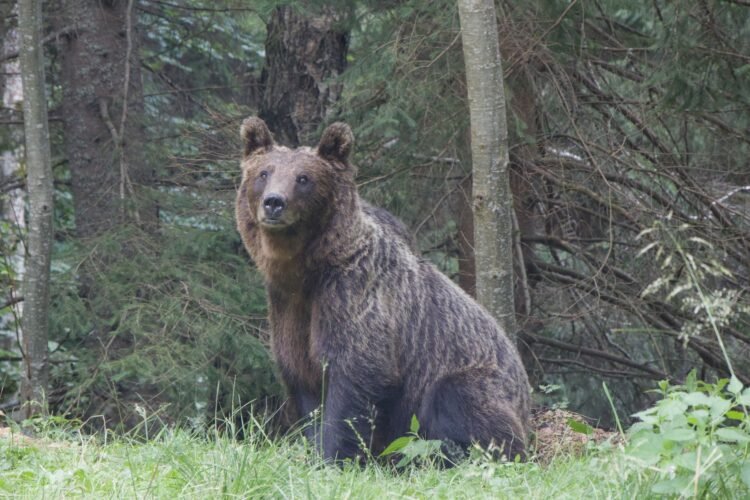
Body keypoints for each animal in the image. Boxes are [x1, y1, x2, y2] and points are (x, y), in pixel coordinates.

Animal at [235, 116, 530, 462]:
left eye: (303, 178)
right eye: (264, 173)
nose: (274, 203)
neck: (306, 272)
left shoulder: (352, 297)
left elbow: (354, 379)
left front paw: (334, 455)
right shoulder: (289, 311)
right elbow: (306, 388)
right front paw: (315, 447)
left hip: (478, 377)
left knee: (459, 400)